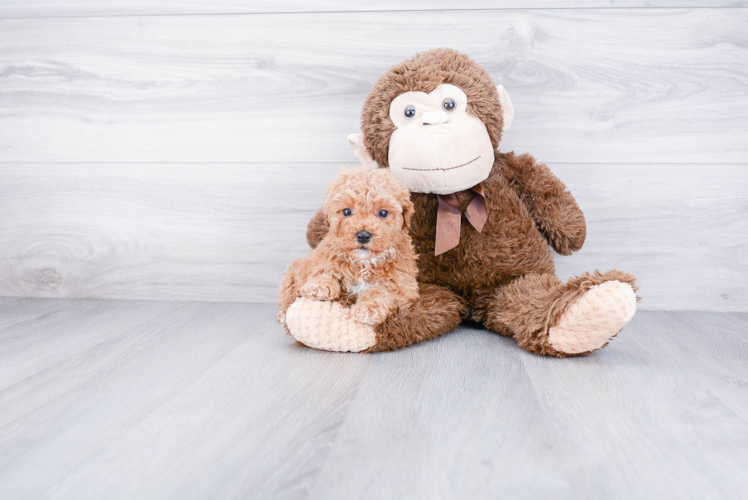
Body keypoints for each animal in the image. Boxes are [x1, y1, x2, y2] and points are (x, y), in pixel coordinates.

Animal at [280, 166, 420, 326]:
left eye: (383, 213)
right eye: (347, 211)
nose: (363, 235)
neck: (364, 263)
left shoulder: (403, 286)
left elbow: (381, 291)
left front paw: (368, 309)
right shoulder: (323, 257)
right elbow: (323, 270)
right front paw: (319, 286)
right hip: (292, 275)